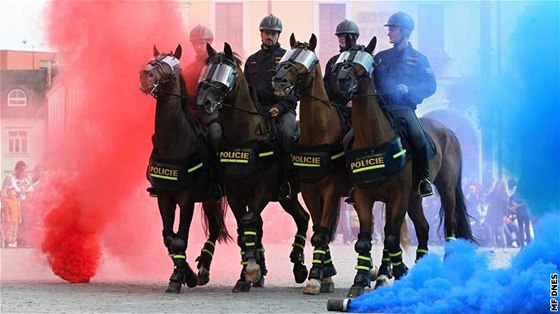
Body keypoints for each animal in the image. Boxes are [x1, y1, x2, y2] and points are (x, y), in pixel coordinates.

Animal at [139, 45, 231, 294]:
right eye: (154, 59)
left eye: (169, 66)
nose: (145, 76)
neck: (175, 141)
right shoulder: (165, 197)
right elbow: (169, 239)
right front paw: (185, 273)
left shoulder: (186, 199)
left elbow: (180, 239)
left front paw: (177, 277)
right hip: (209, 200)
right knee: (215, 228)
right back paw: (202, 270)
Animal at [196, 41, 310, 292]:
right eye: (206, 70)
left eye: (226, 73)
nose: (203, 103)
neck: (245, 135)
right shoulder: (235, 192)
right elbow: (243, 227)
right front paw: (245, 275)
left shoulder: (263, 190)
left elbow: (249, 221)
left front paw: (251, 269)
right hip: (287, 197)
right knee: (302, 218)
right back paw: (297, 267)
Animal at [270, 33, 350, 294]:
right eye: (286, 57)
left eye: (305, 60)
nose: (279, 80)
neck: (318, 133)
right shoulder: (309, 189)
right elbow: (318, 231)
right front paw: (322, 275)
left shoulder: (331, 189)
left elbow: (322, 231)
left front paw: (317, 275)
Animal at [334, 35, 474, 298]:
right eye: (342, 60)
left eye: (362, 63)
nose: (342, 81)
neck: (373, 140)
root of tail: (449, 131)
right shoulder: (363, 196)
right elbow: (365, 239)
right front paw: (360, 280)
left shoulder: (397, 195)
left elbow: (391, 238)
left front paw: (396, 273)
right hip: (413, 197)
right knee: (424, 227)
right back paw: (421, 267)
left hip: (446, 189)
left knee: (449, 225)